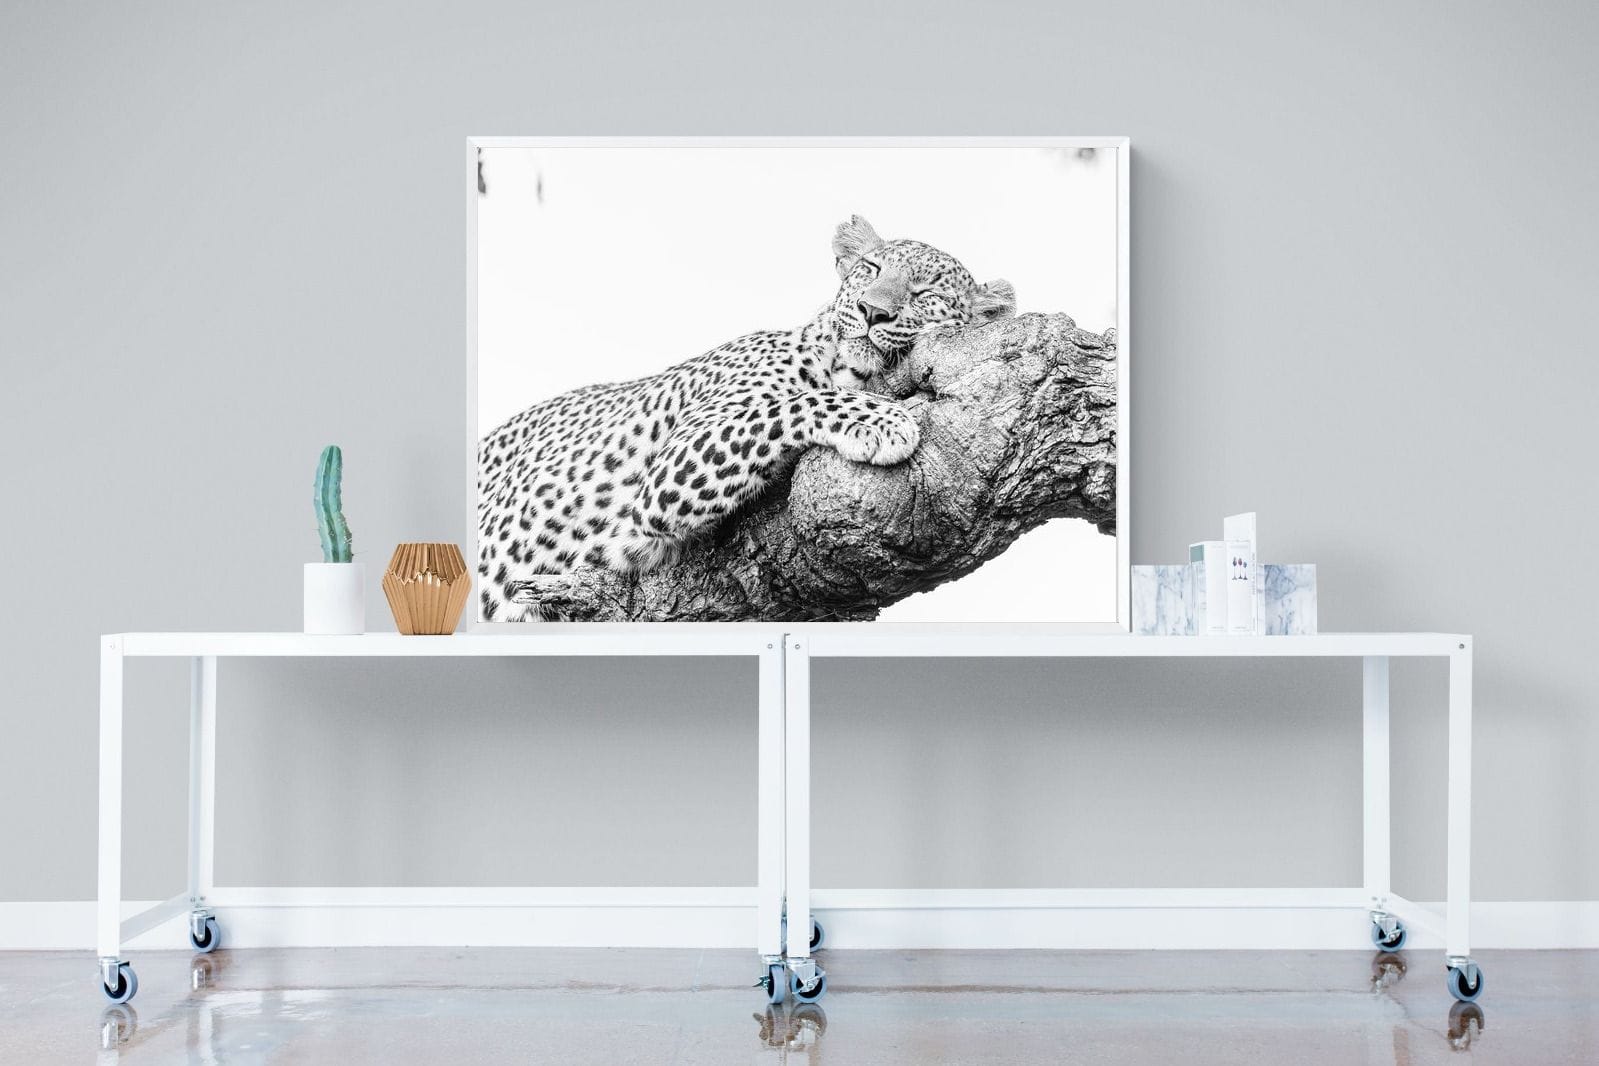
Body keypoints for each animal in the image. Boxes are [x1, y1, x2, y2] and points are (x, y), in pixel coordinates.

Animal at [476, 215, 1016, 621]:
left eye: (926, 293)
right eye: (871, 267)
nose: (871, 311)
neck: (841, 363)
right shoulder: (671, 467)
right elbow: (790, 405)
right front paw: (885, 420)